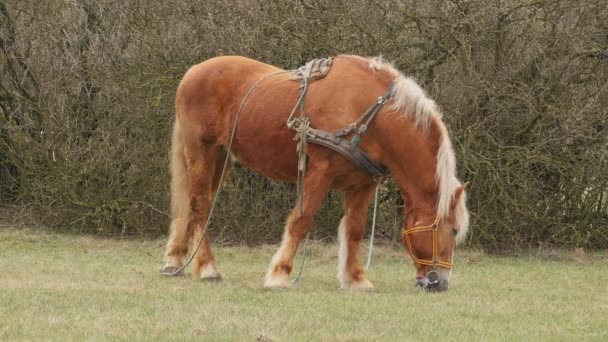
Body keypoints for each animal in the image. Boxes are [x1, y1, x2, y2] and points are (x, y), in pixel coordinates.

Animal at [158, 54, 470, 292]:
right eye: (453, 230)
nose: (440, 283)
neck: (368, 114)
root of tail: (193, 72)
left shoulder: (362, 184)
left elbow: (354, 230)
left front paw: (355, 279)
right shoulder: (319, 174)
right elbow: (301, 220)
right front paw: (280, 274)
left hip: (222, 159)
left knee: (193, 206)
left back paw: (176, 260)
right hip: (201, 151)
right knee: (200, 207)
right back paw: (207, 268)